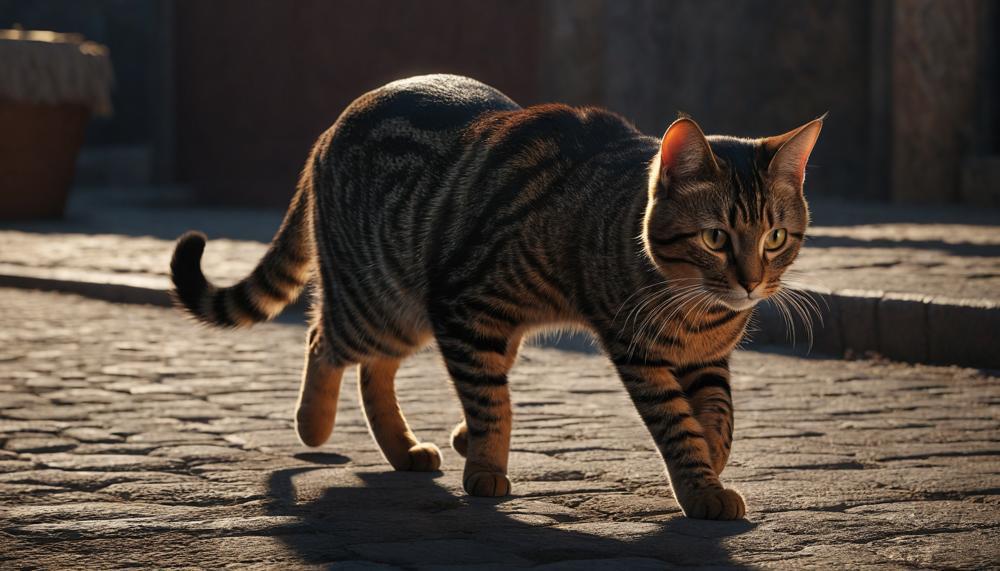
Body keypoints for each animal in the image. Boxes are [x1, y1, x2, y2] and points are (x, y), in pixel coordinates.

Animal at [170, 73, 820, 520]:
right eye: (715, 237)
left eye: (776, 237)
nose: (751, 282)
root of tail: (334, 125)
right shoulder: (477, 306)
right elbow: (497, 403)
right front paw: (485, 466)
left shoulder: (707, 359)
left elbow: (719, 419)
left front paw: (711, 468)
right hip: (382, 298)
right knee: (323, 340)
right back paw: (314, 423)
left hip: (410, 310)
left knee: (375, 370)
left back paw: (405, 449)